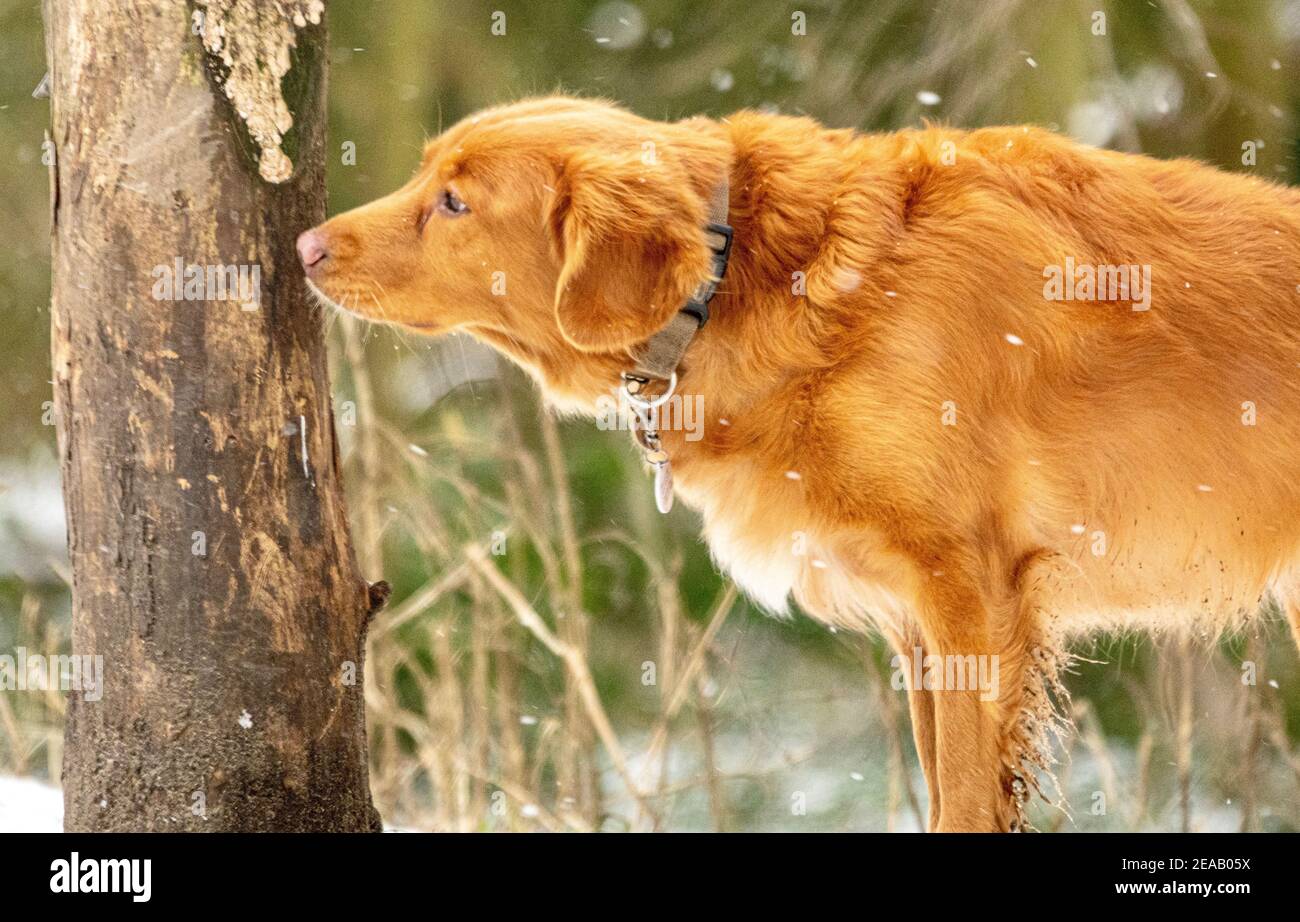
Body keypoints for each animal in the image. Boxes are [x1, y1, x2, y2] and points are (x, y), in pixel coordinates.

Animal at [299, 96, 1300, 832]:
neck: (747, 269)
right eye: (426, 174)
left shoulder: (972, 593)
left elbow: (966, 797)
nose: (304, 246)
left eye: (455, 202)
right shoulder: (924, 619)